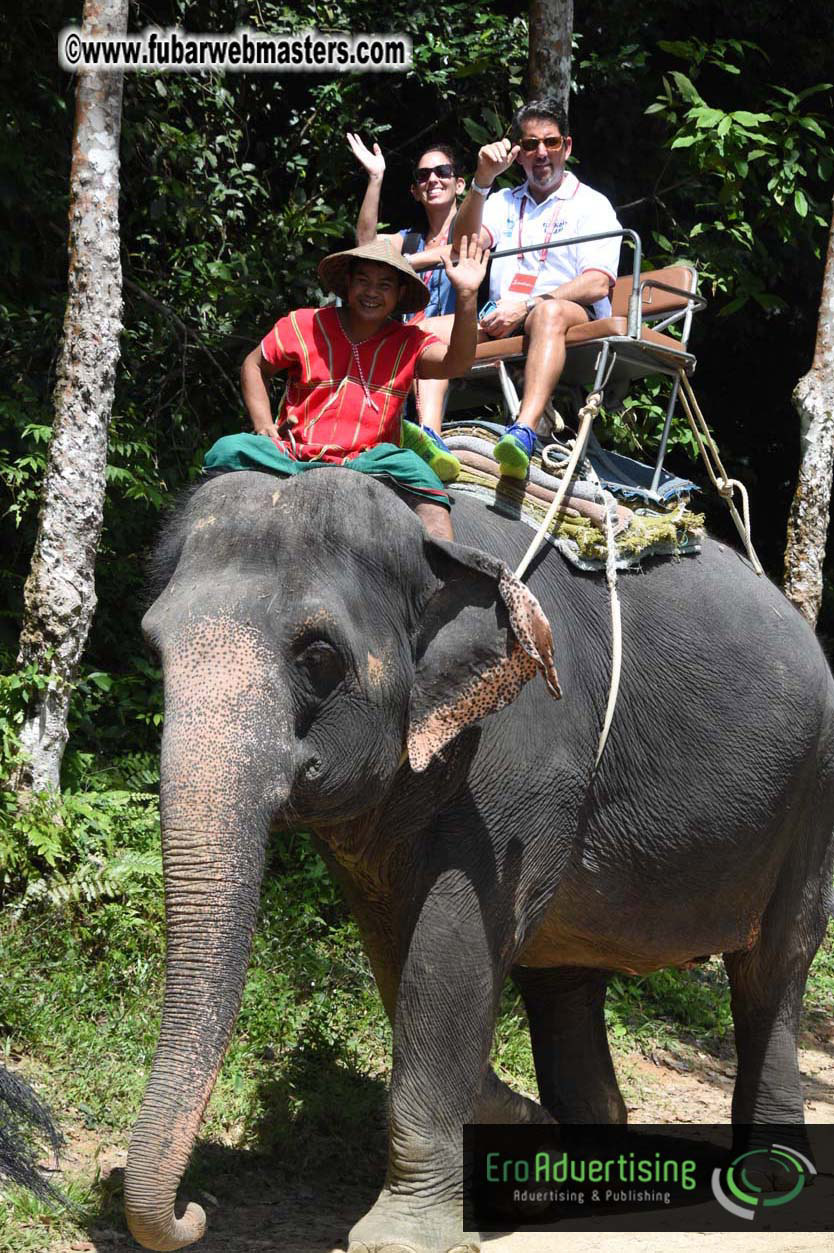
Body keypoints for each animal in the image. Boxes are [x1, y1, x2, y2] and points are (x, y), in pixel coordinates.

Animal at [125, 466, 834, 1253]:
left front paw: (400, 1235)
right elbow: (396, 947)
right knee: (565, 980)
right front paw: (525, 1151)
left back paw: (768, 1181)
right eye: (154, 649)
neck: (429, 540)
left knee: (773, 969)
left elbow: (456, 942)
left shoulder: (527, 757)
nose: (194, 1213)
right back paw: (586, 1169)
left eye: (318, 657)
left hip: (813, 794)